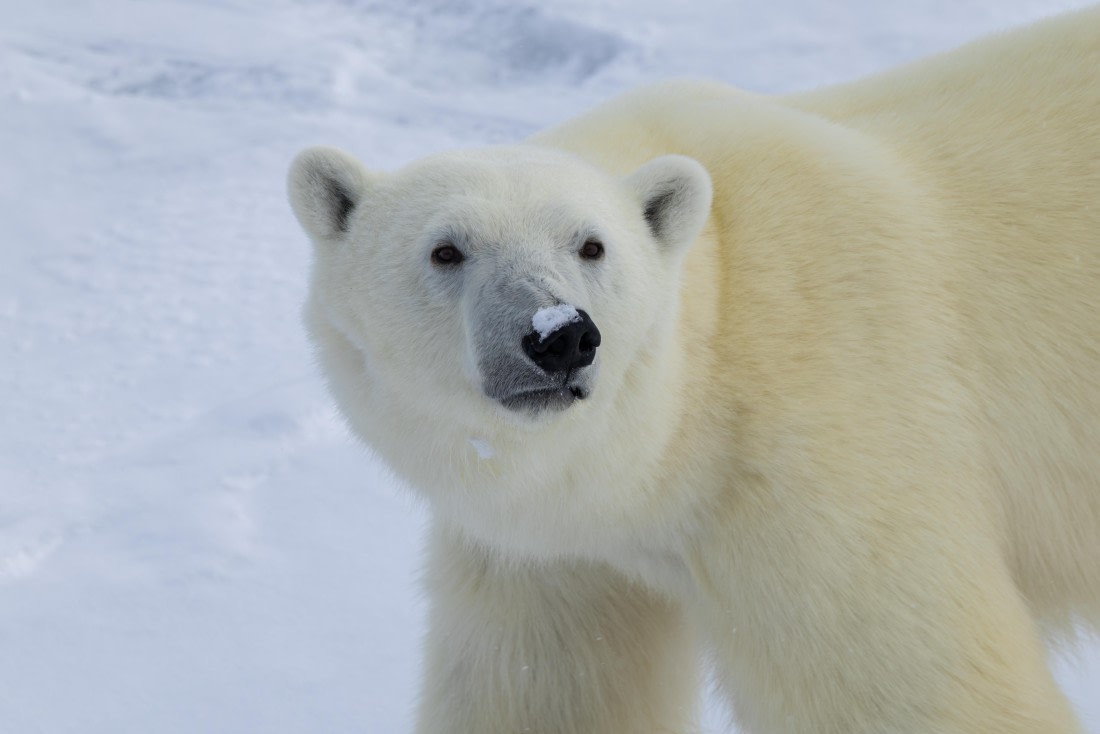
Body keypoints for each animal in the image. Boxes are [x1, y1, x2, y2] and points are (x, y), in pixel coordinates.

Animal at [287, 6, 1100, 734]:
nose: (560, 337)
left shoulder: (822, 466)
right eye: (446, 249)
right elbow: (541, 687)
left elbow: (904, 680)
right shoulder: (553, 552)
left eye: (591, 244)